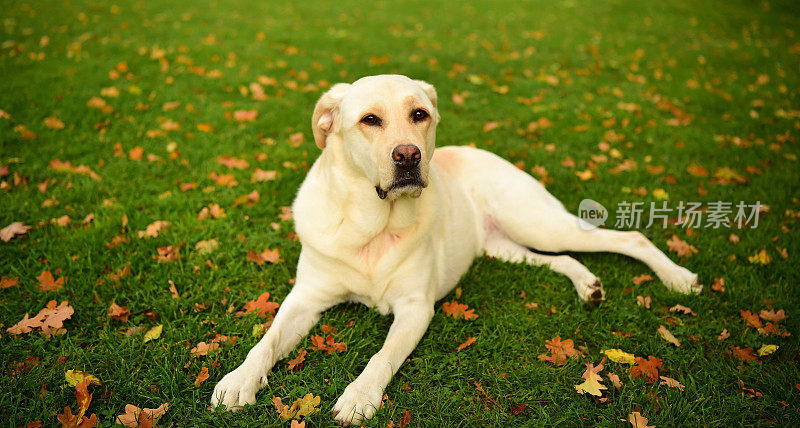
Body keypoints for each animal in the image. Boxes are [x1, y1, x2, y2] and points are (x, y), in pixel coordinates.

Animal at [211, 74, 700, 424]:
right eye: (370, 120)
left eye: (419, 113)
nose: (408, 156)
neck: (372, 226)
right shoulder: (305, 299)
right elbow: (266, 342)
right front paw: (238, 381)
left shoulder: (415, 308)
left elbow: (382, 356)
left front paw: (359, 395)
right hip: (505, 246)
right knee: (563, 259)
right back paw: (588, 286)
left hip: (538, 223)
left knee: (628, 238)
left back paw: (677, 277)